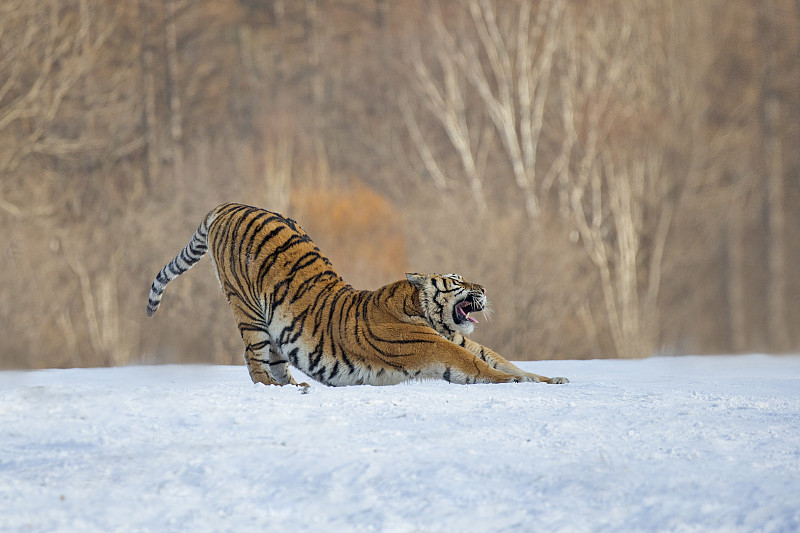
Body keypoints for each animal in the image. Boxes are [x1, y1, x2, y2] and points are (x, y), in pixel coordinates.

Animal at [146, 203, 569, 387]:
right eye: (457, 280)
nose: (484, 289)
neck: (422, 312)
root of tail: (232, 204)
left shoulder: (463, 341)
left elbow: (505, 362)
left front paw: (551, 378)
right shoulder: (439, 348)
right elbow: (483, 368)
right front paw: (523, 384)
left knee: (277, 359)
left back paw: (294, 387)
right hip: (247, 309)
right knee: (254, 359)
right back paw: (272, 387)